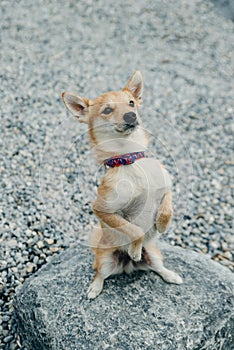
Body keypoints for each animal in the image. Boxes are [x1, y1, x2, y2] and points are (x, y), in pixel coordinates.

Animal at [62, 70, 183, 298]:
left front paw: (162, 224)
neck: (129, 158)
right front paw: (134, 249)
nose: (131, 116)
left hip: (153, 253)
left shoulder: (166, 185)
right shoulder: (102, 209)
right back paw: (95, 288)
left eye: (131, 103)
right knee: (99, 273)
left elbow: (167, 206)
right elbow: (133, 229)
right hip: (105, 260)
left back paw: (171, 275)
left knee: (158, 267)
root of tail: (128, 267)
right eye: (107, 110)